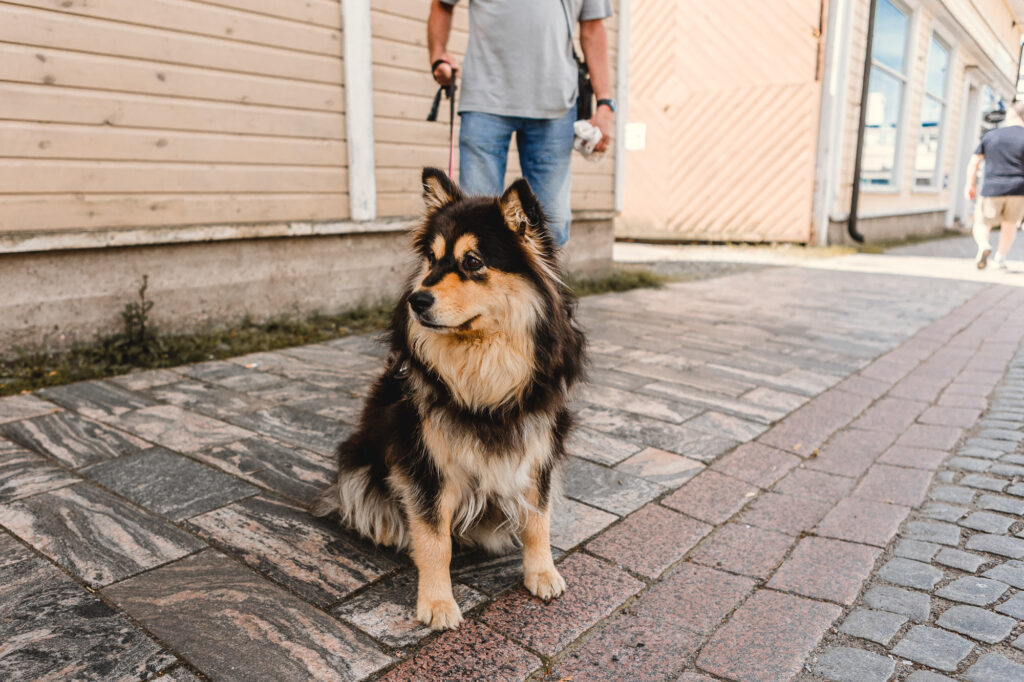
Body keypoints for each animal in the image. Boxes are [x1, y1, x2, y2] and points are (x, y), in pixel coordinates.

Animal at [309, 166, 585, 630]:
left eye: (472, 262)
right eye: (432, 259)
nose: (415, 300)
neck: (483, 365)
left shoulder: (538, 444)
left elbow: (538, 518)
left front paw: (542, 572)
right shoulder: (424, 460)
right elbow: (435, 538)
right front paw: (437, 603)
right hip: (361, 456)